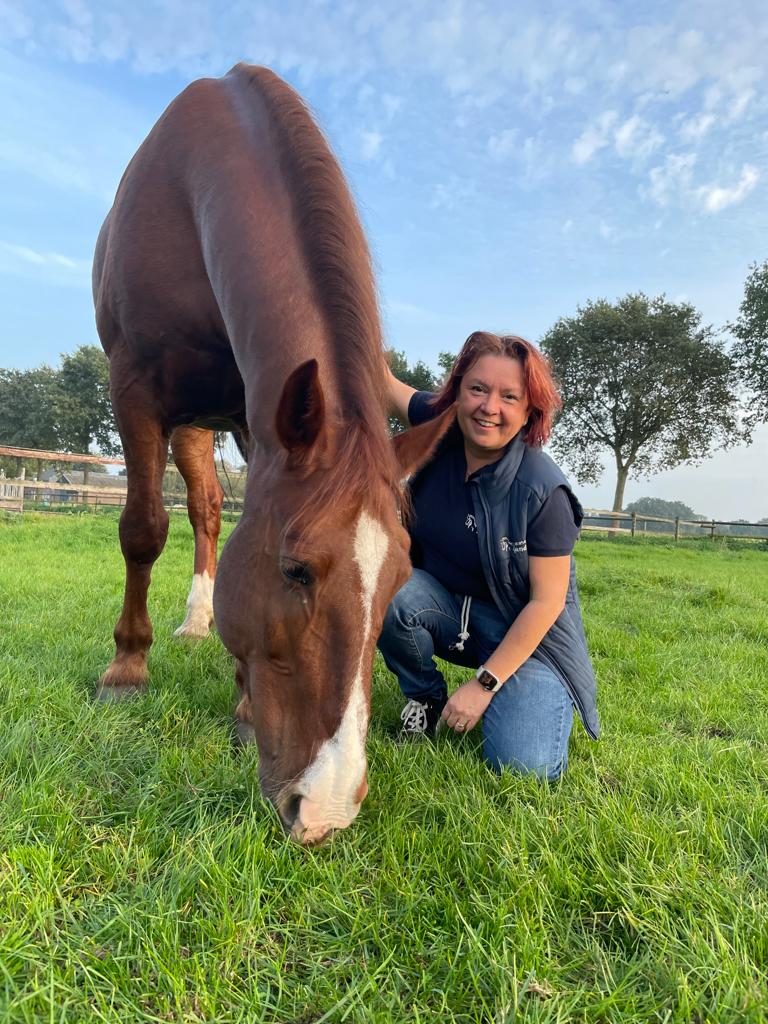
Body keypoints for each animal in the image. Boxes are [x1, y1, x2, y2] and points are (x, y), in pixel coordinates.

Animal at [92, 64, 453, 844]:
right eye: (296, 571)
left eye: (400, 579)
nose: (327, 807)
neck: (191, 189)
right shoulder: (133, 387)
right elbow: (141, 530)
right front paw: (126, 670)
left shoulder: (260, 412)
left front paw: (244, 709)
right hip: (185, 422)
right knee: (187, 514)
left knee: (207, 511)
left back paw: (200, 621)